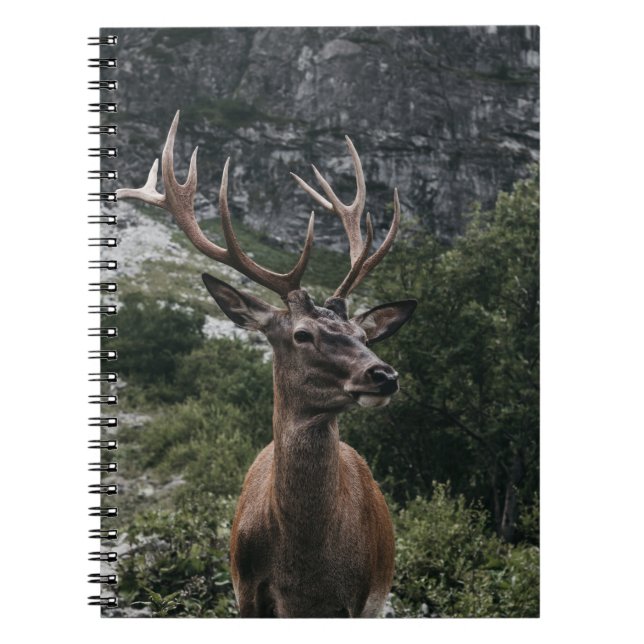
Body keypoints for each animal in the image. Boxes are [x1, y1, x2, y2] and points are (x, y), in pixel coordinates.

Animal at [116, 111, 416, 618]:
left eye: (362, 337)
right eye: (302, 334)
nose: (385, 375)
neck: (306, 569)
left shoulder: (359, 599)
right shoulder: (245, 590)